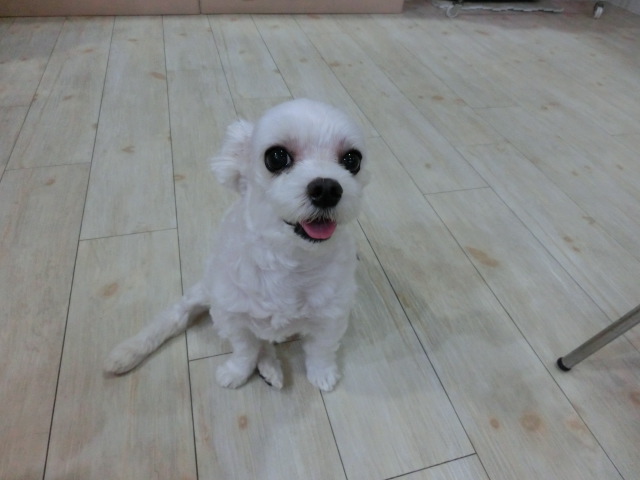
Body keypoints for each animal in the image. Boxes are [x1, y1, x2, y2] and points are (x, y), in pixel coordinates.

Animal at [104, 99, 369, 392]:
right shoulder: (232, 315)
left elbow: (320, 350)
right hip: (205, 290)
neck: (289, 260)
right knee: (176, 315)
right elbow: (245, 350)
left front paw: (322, 373)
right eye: (276, 157)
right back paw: (128, 352)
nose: (327, 189)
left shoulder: (330, 318)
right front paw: (236, 373)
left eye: (352, 160)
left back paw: (270, 369)